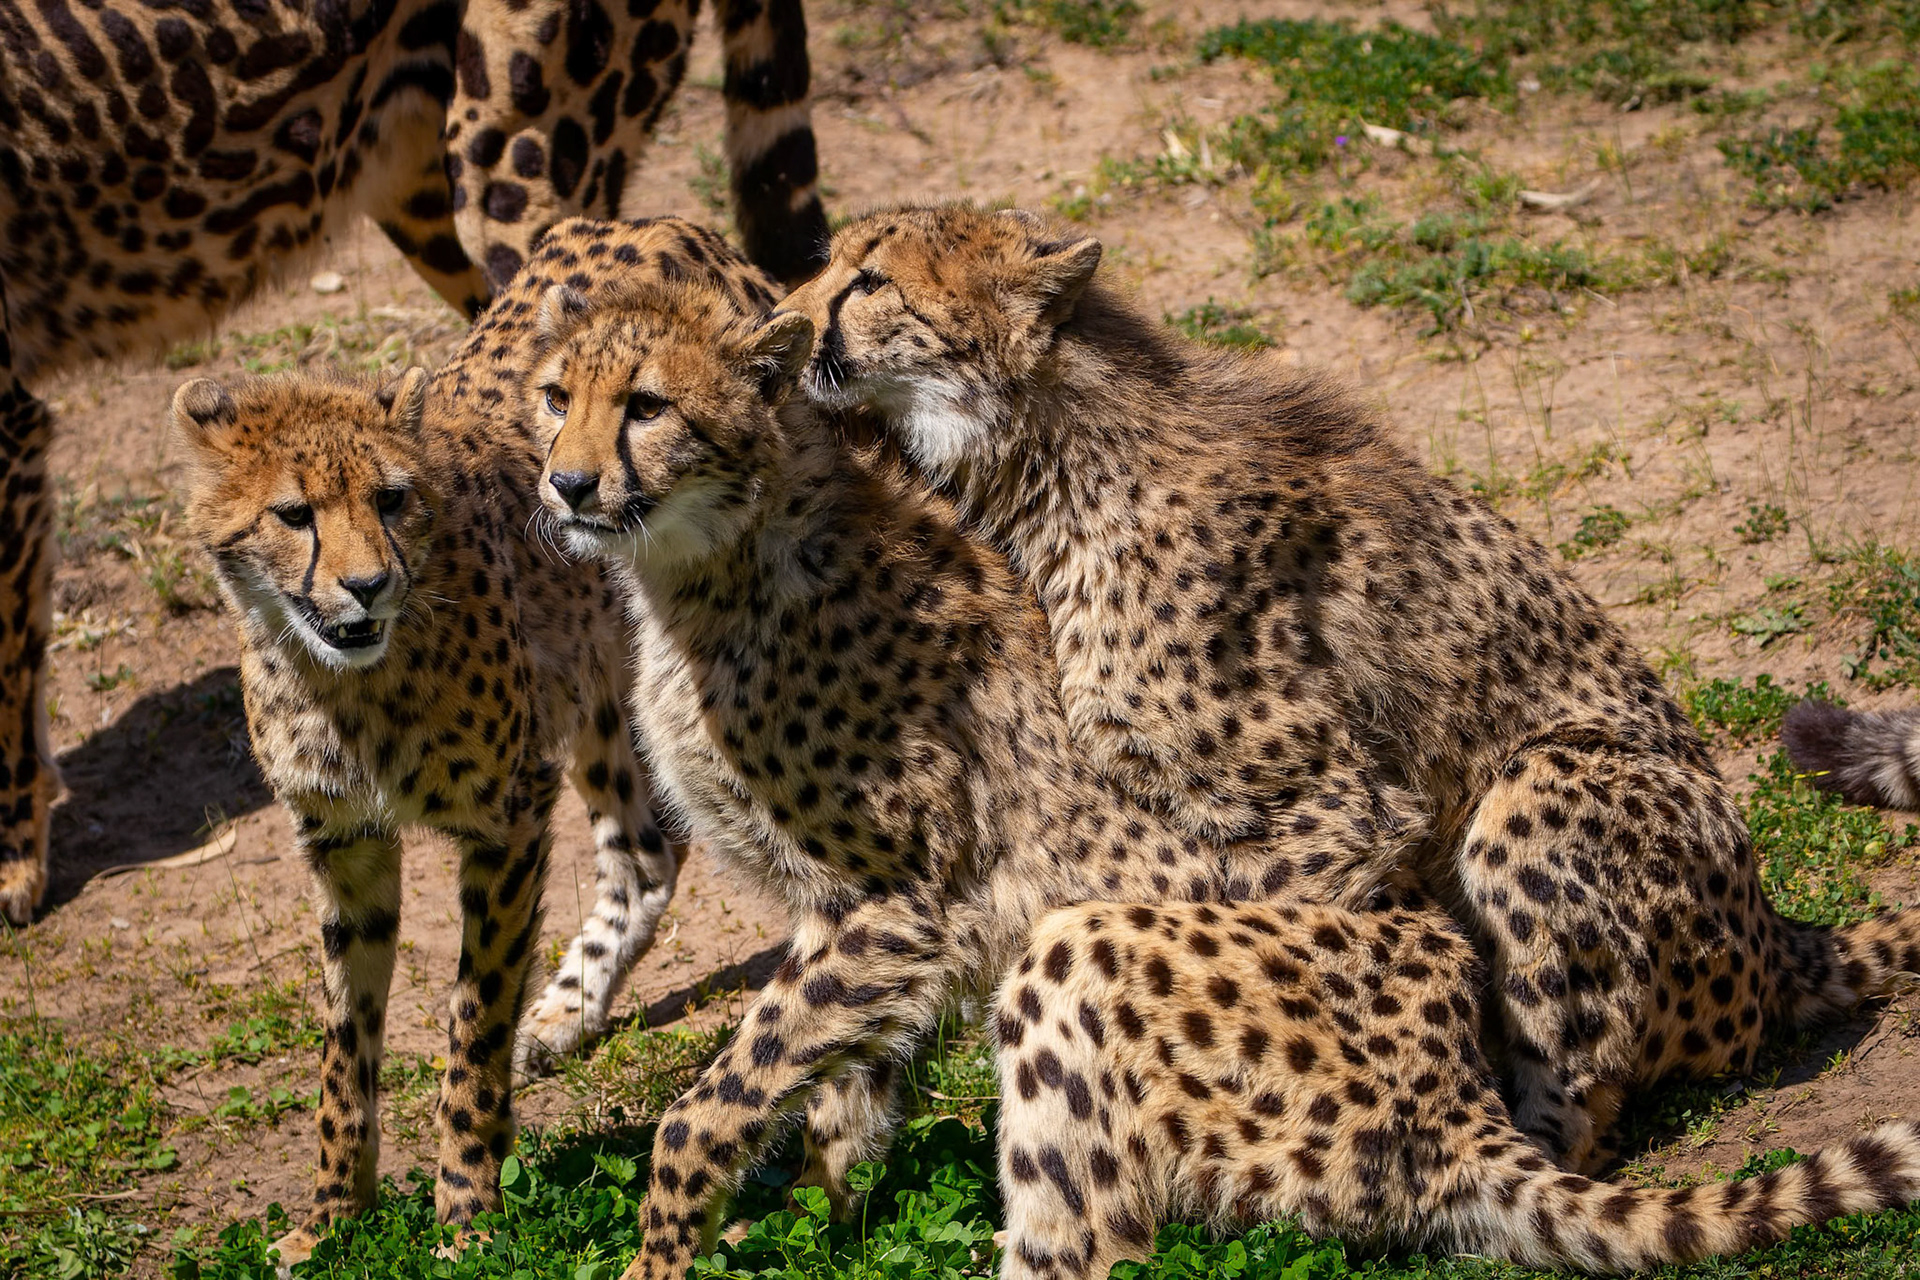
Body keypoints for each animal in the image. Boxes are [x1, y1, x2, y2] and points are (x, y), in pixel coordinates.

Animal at [0, 0, 829, 928]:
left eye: (392, 501)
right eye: (293, 517)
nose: (366, 586)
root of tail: (664, 227)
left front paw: (13, 859)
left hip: (515, 166)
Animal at [169, 216, 783, 1264]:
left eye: (390, 499)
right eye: (294, 514)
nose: (368, 585)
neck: (344, 682)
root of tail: (658, 222)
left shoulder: (505, 822)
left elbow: (470, 1022)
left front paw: (465, 1212)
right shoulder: (345, 847)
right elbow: (344, 1048)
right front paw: (331, 1217)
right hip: (594, 684)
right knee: (645, 847)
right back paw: (569, 1008)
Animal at [514, 227, 1447, 1280]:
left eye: (648, 406)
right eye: (557, 396)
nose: (569, 485)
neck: (719, 555)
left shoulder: (892, 900)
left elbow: (710, 1105)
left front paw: (665, 1254)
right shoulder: (874, 923)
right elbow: (840, 1097)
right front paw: (820, 1224)